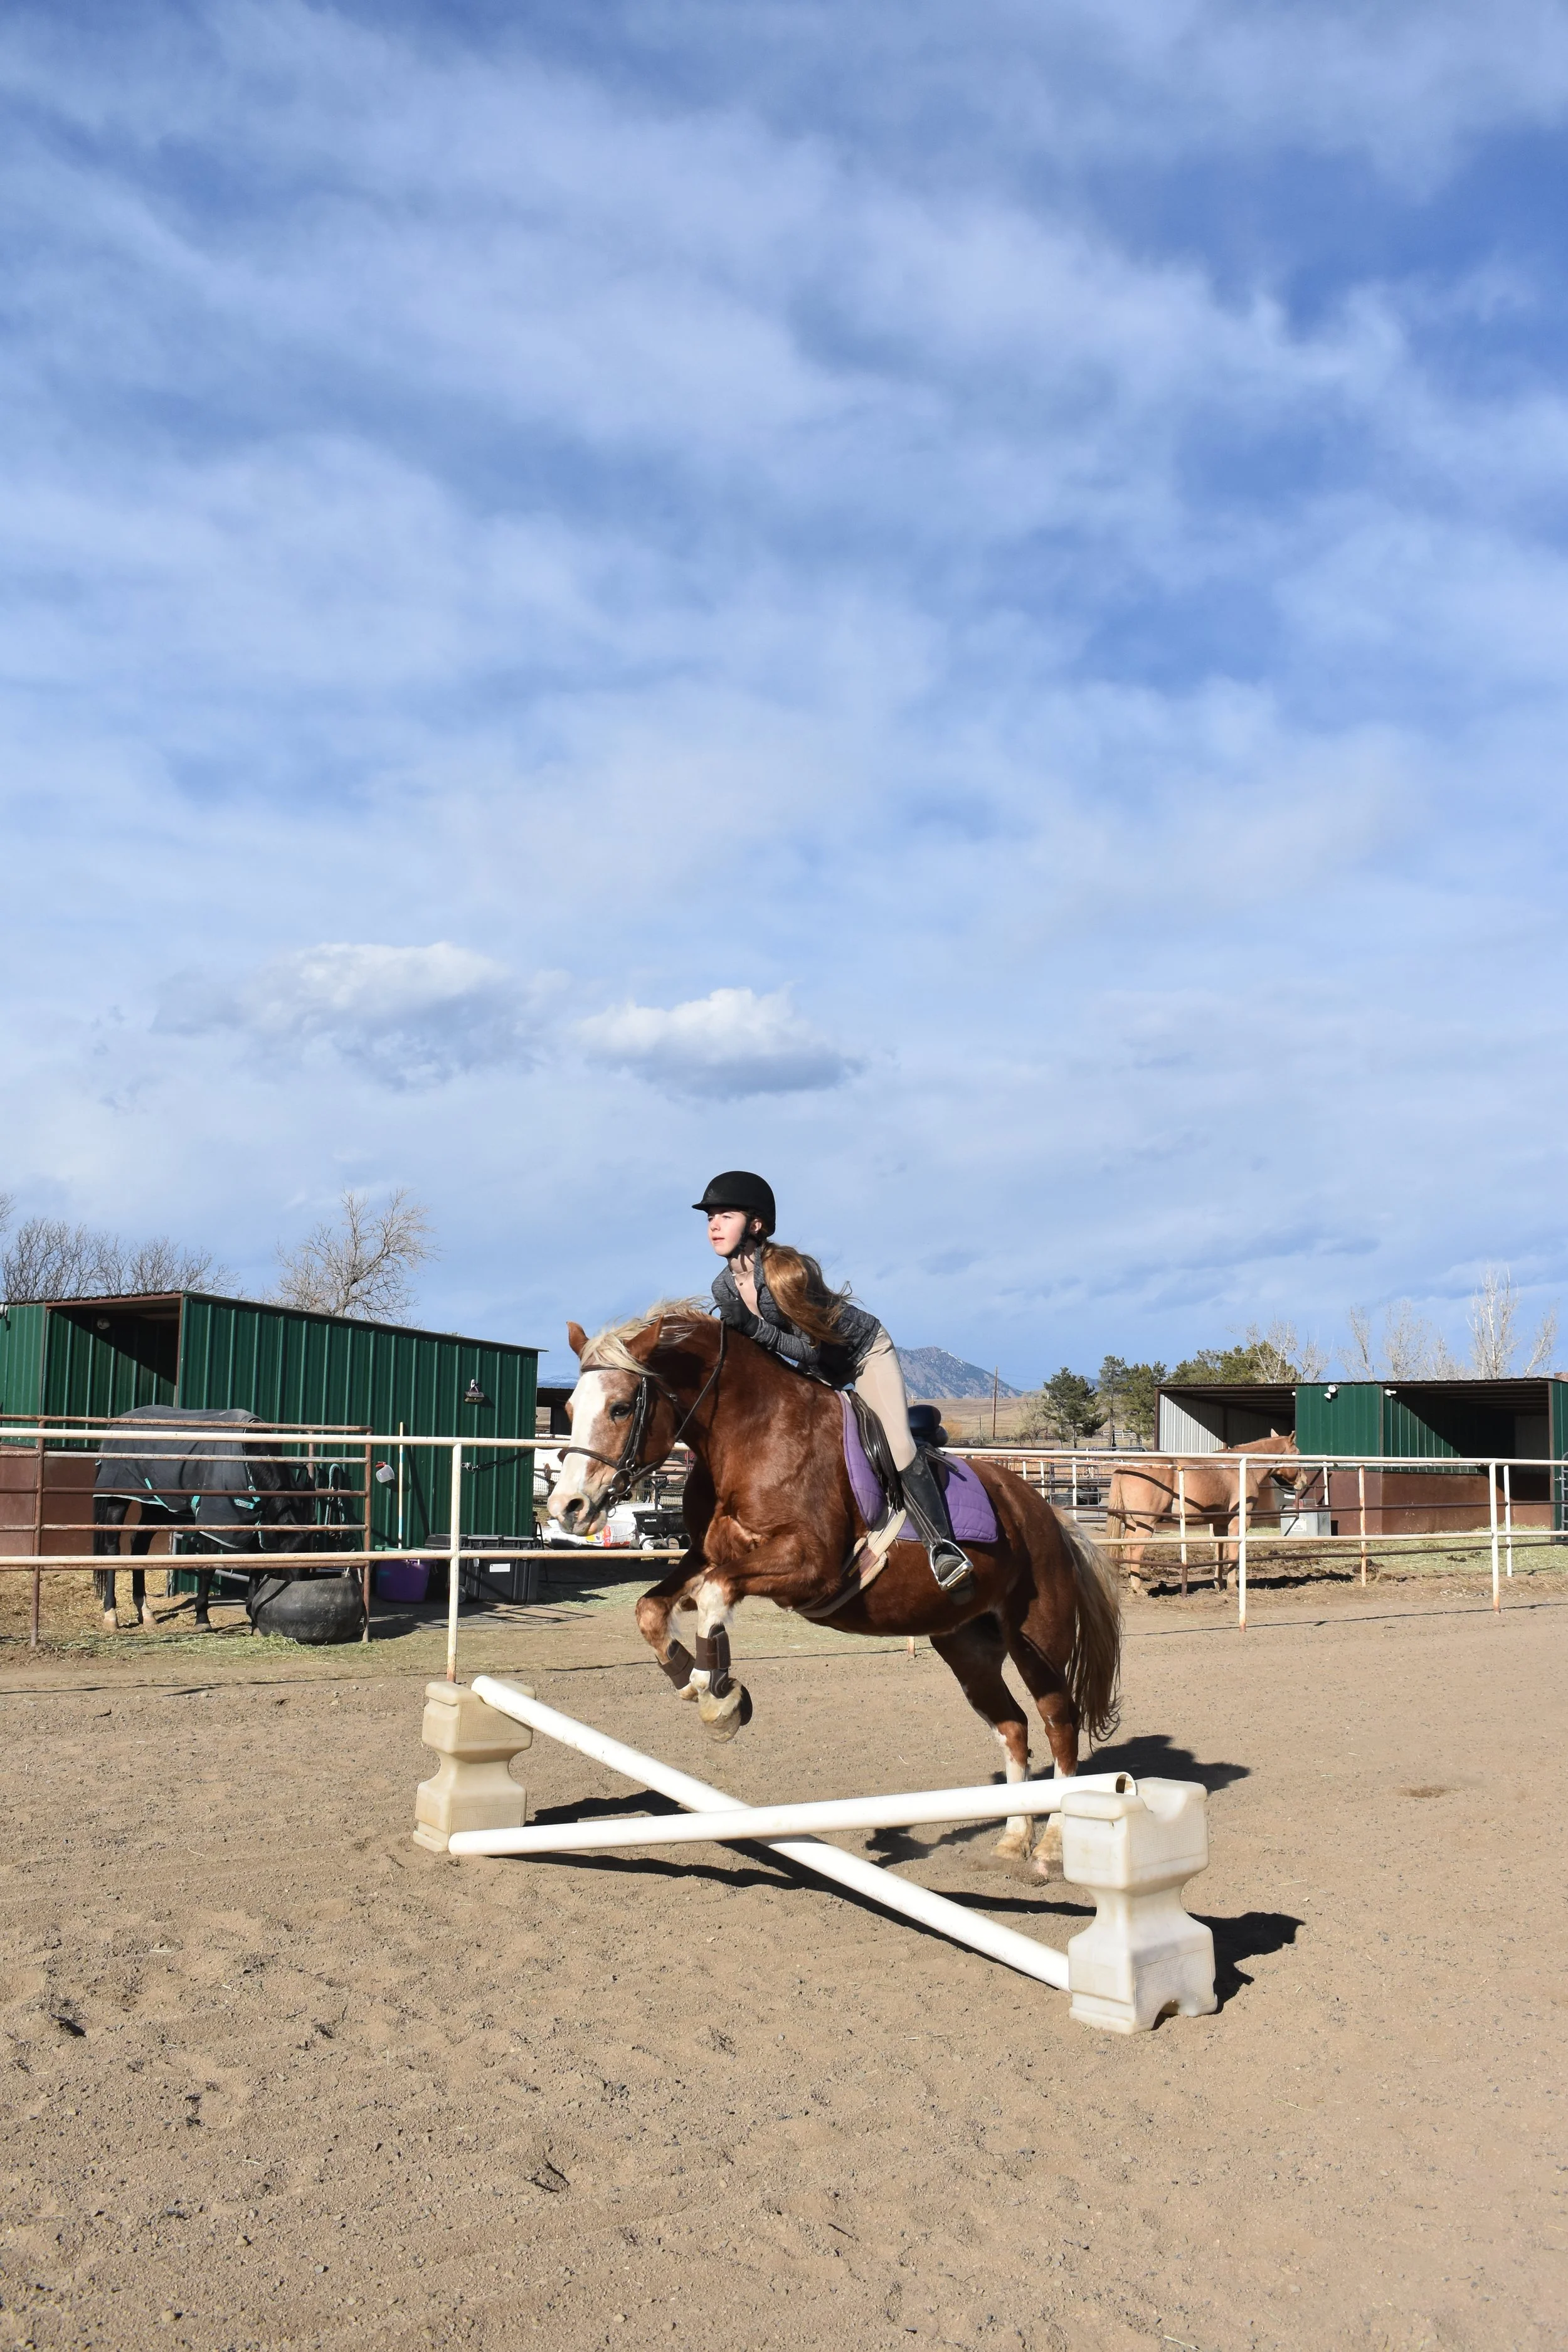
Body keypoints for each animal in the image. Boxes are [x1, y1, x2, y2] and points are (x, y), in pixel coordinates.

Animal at [93, 1406, 319, 1630]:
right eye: (285, 1560)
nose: (295, 1597)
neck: (248, 1458)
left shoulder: (256, 1525)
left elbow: (254, 1568)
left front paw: (254, 1621)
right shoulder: (215, 1521)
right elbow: (208, 1567)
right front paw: (203, 1619)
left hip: (155, 1505)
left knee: (139, 1545)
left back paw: (146, 1613)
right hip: (117, 1499)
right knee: (112, 1549)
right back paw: (111, 1614)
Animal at [547, 1301, 1122, 1873]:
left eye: (621, 1408)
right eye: (570, 1409)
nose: (567, 1509)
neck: (749, 1435)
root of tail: (1047, 1513)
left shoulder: (809, 1568)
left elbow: (713, 1594)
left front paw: (720, 1697)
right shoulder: (707, 1555)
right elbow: (651, 1608)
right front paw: (691, 1677)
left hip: (1037, 1637)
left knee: (1059, 1722)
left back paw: (1050, 1847)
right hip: (966, 1645)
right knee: (1012, 1726)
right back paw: (1013, 1837)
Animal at [1106, 1433, 1306, 1595]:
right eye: (1297, 1454)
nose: (1304, 1481)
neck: (1241, 1468)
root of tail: (1126, 1466)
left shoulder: (1219, 1524)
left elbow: (1220, 1553)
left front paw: (1219, 1584)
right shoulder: (1238, 1522)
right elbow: (1233, 1553)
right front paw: (1233, 1586)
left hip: (1132, 1523)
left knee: (1126, 1547)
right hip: (1146, 1524)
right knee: (1135, 1549)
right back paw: (1138, 1589)